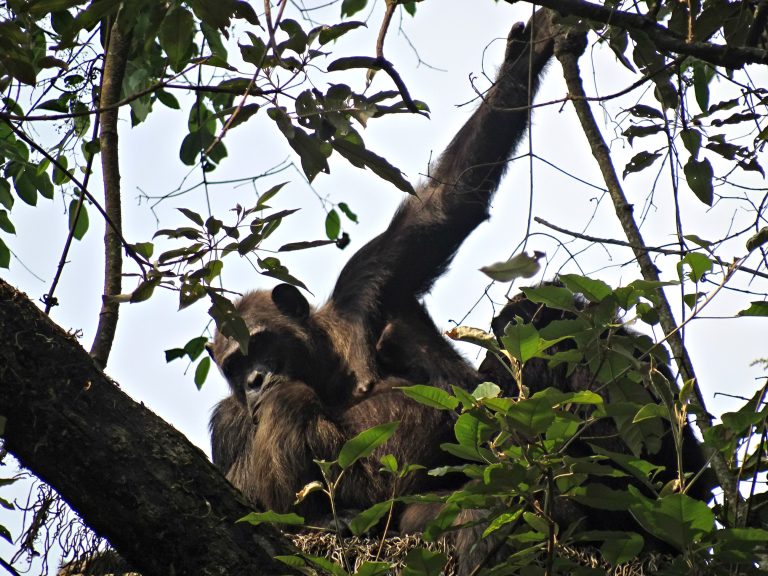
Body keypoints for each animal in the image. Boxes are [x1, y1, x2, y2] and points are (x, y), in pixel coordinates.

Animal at [209, 8, 559, 525]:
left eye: (261, 343)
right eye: (235, 365)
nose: (254, 379)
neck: (328, 370)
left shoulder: (365, 287)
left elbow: (445, 206)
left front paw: (527, 54)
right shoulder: (227, 422)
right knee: (289, 406)